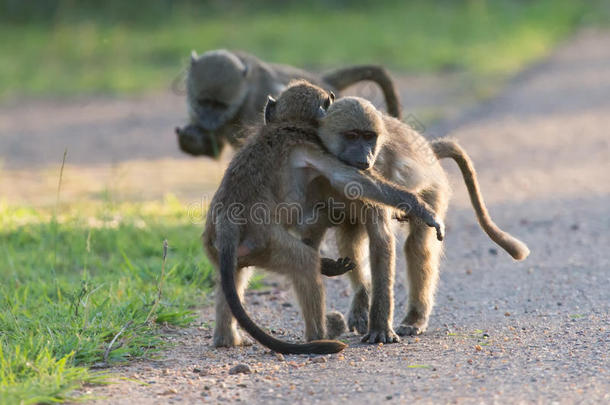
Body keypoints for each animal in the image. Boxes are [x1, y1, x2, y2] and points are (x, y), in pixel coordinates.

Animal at [172, 49, 400, 157]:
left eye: (220, 106)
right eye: (203, 103)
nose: (208, 122)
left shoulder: (253, 105)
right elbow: (214, 149)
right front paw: (191, 136)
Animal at [202, 80, 444, 352]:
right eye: (352, 137)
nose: (365, 157)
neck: (289, 122)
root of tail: (226, 221)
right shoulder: (313, 148)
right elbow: (350, 180)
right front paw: (421, 208)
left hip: (225, 250)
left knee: (234, 276)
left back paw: (226, 339)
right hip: (265, 242)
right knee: (305, 264)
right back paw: (320, 334)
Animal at [308, 96, 528, 336]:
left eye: (368, 137)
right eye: (352, 136)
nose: (365, 157)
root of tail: (429, 151)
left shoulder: (375, 175)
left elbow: (382, 240)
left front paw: (380, 329)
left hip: (433, 190)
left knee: (418, 245)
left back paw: (415, 319)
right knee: (351, 236)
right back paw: (361, 299)